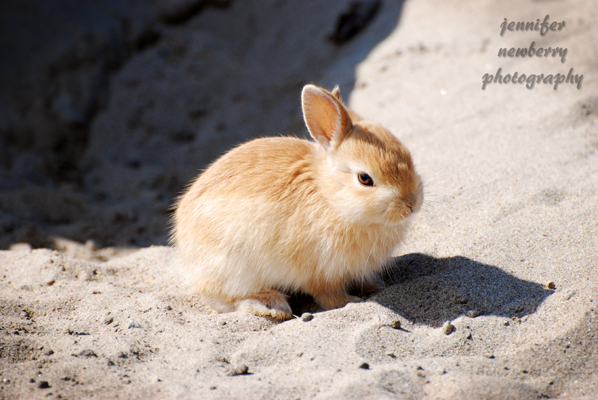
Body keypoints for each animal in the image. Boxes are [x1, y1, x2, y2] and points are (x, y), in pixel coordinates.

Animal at [171, 84, 424, 322]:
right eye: (365, 179)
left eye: (408, 156)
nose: (412, 203)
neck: (330, 199)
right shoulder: (321, 273)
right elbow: (329, 296)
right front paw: (351, 301)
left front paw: (376, 286)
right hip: (233, 269)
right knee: (221, 298)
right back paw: (271, 306)